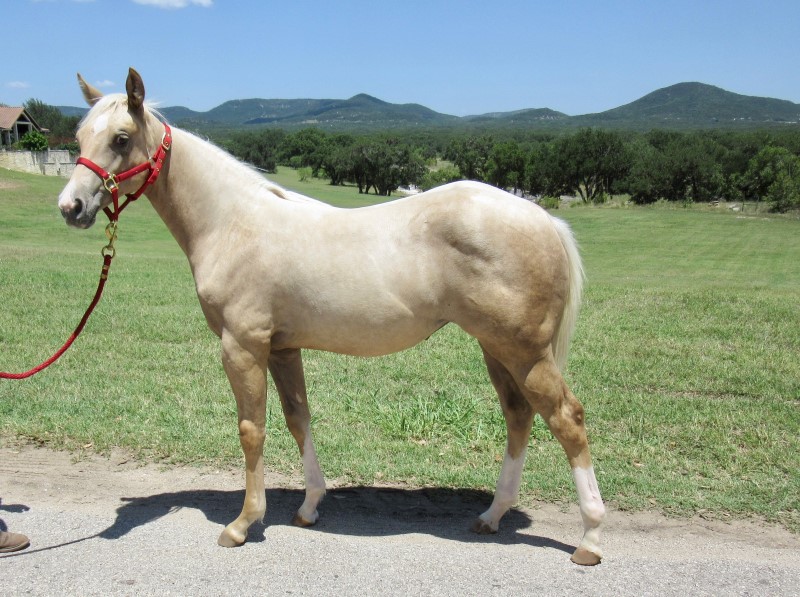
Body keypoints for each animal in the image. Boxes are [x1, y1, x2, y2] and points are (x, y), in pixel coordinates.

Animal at [57, 68, 608, 564]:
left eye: (121, 138)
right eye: (79, 137)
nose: (71, 207)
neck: (232, 222)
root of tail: (544, 218)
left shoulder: (242, 346)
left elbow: (251, 429)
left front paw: (243, 524)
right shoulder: (282, 348)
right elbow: (298, 419)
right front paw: (309, 507)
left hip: (524, 352)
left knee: (567, 419)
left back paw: (590, 538)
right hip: (497, 349)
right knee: (519, 416)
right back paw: (493, 515)